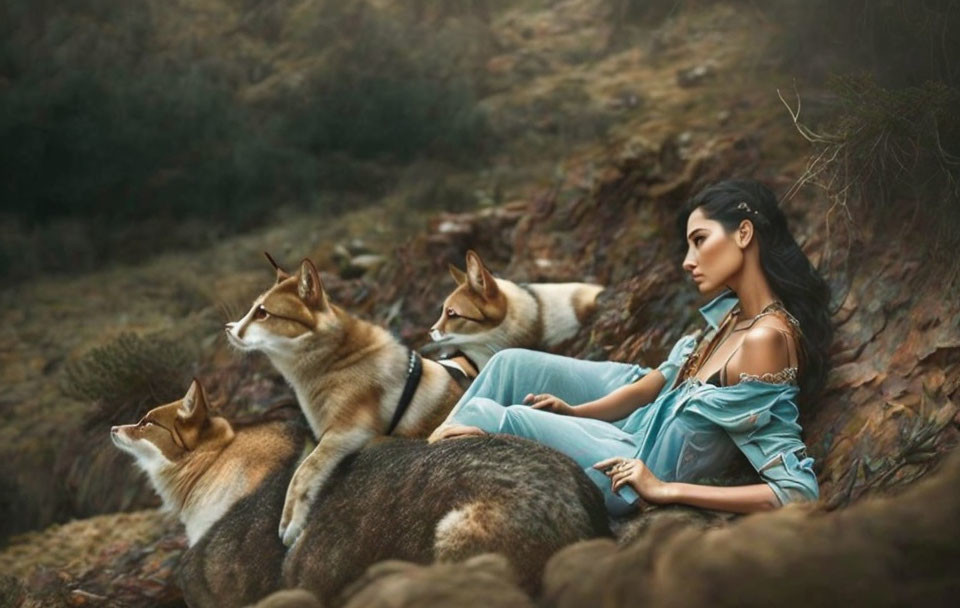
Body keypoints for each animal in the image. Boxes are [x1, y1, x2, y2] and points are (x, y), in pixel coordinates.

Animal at [225, 254, 464, 548]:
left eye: (263, 313)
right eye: (253, 309)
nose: (228, 329)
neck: (336, 361)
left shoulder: (349, 431)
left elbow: (305, 470)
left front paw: (291, 521)